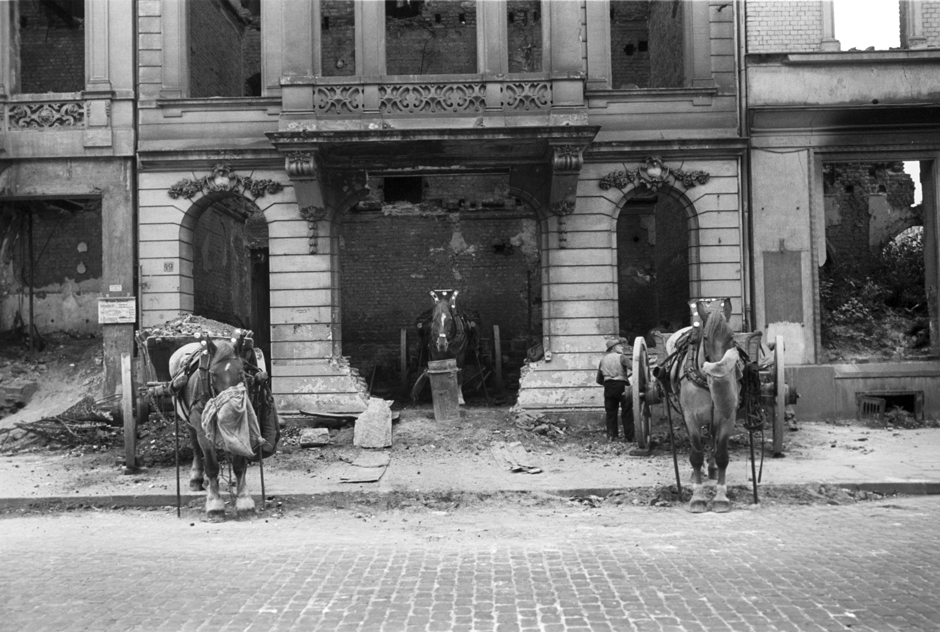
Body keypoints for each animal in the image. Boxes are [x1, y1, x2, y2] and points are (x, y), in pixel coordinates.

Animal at [664, 298, 744, 512]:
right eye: (706, 338)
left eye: (732, 337)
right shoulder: (691, 418)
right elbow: (695, 456)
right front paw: (697, 497)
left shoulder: (727, 418)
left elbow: (723, 454)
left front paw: (721, 497)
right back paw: (697, 472)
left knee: (712, 438)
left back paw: (712, 467)